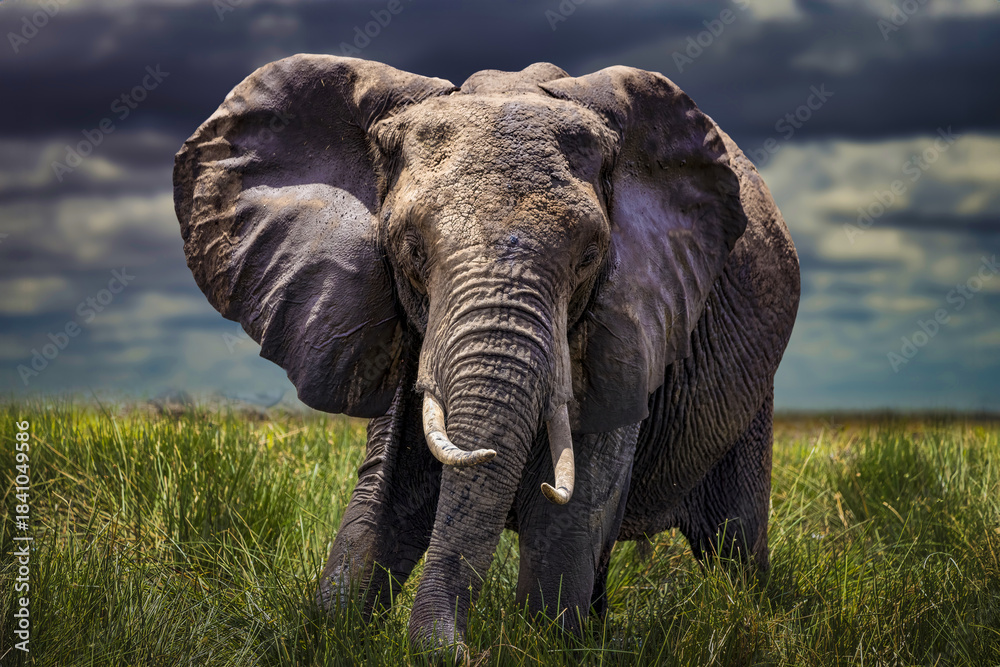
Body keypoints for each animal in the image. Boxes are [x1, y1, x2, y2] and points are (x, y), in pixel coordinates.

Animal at [173, 54, 800, 654]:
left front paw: (544, 642)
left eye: (590, 256)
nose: (463, 649)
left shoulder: (632, 321)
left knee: (733, 541)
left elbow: (572, 508)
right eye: (410, 250)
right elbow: (385, 496)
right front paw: (337, 627)